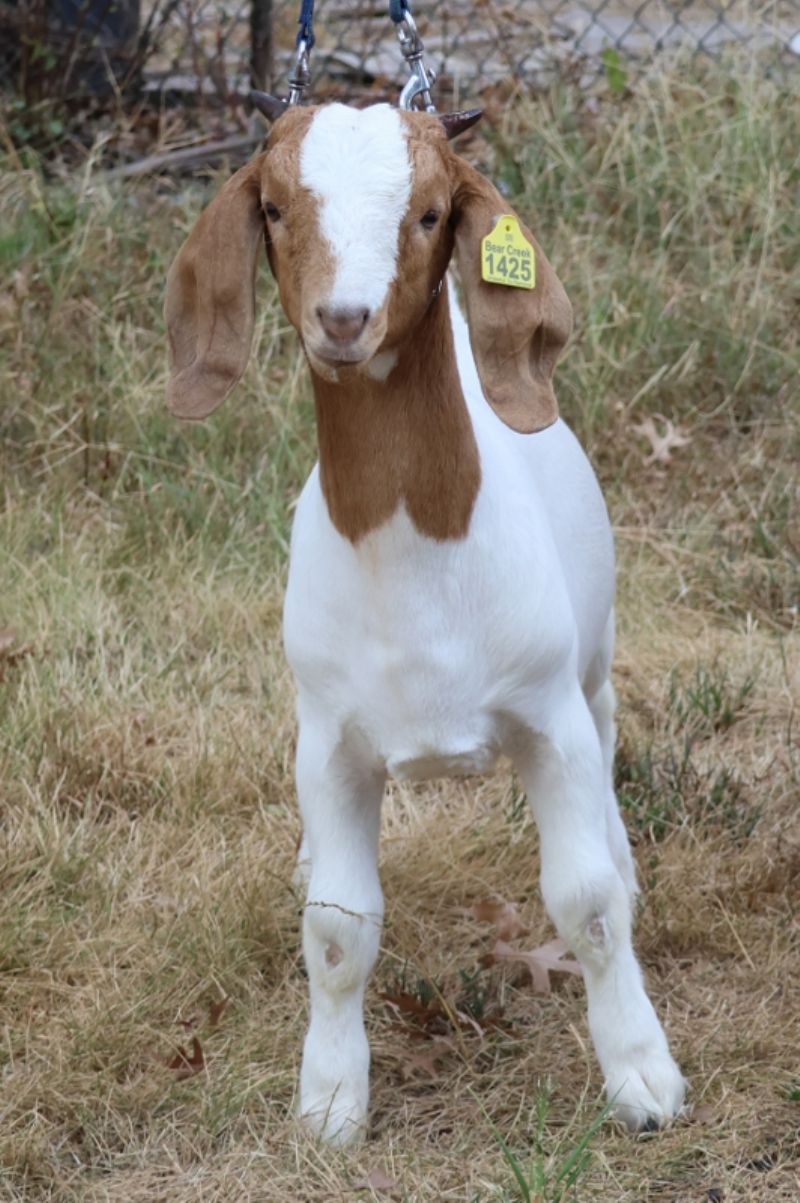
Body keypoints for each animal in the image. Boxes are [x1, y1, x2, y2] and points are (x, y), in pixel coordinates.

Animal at [164, 101, 685, 1145]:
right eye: (274, 207)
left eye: (432, 211)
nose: (343, 319)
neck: (417, 559)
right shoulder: (329, 743)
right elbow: (336, 926)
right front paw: (329, 1101)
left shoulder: (548, 718)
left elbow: (588, 904)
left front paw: (643, 1079)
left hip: (594, 661)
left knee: (609, 742)